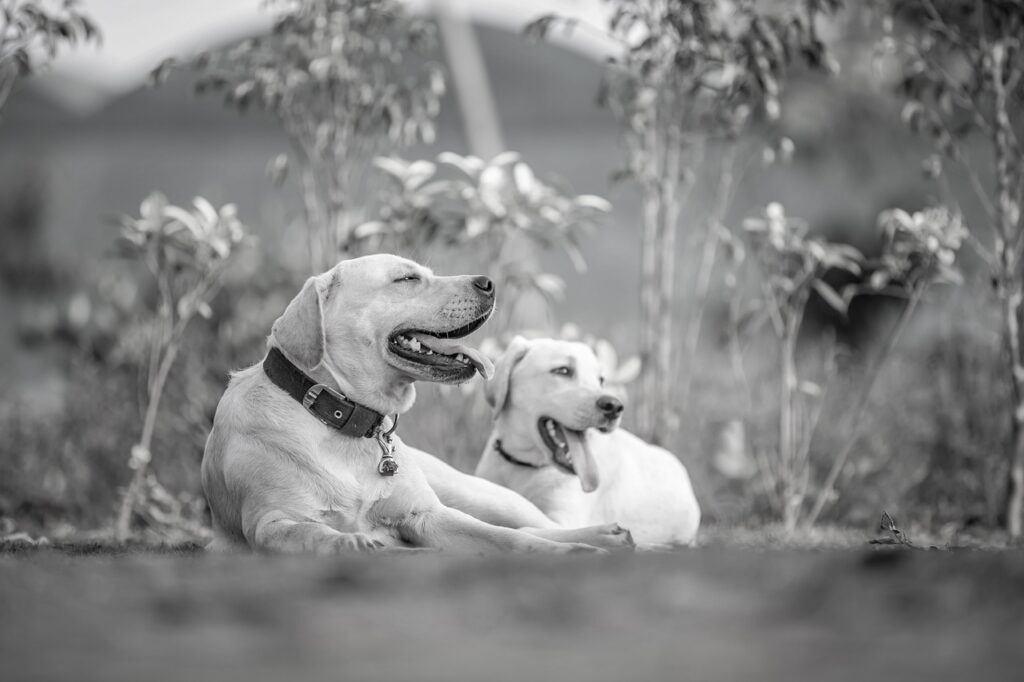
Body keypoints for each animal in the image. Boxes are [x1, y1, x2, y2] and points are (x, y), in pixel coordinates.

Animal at [199, 254, 630, 552]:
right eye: (407, 278)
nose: (489, 282)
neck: (346, 422)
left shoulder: (428, 517)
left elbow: (511, 538)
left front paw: (572, 551)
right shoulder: (269, 523)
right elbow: (312, 533)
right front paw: (349, 541)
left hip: (482, 495)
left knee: (531, 525)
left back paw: (607, 536)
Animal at [473, 335, 700, 548]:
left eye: (601, 380)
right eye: (563, 371)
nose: (614, 406)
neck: (522, 465)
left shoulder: (562, 520)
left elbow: (525, 528)